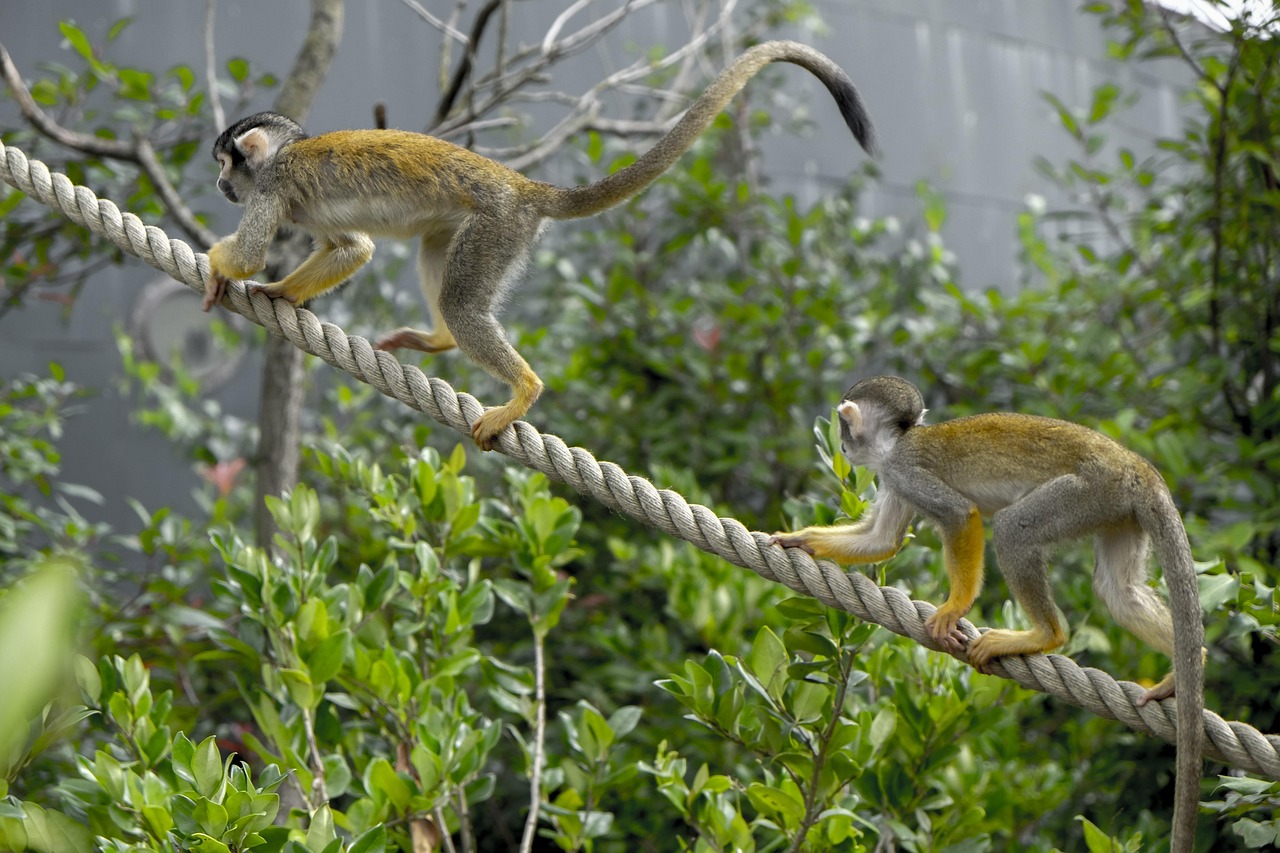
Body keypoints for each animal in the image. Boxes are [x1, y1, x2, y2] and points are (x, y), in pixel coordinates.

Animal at [202, 38, 880, 450]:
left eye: (226, 163)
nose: (220, 184)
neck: (282, 158)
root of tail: (526, 186)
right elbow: (353, 248)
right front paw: (281, 294)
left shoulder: (274, 186)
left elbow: (260, 249)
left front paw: (224, 267)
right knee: (438, 258)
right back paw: (439, 339)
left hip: (499, 224)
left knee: (464, 301)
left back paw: (521, 388)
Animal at [773, 376, 1203, 850]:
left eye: (844, 427)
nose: (844, 447)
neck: (898, 442)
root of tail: (1137, 466)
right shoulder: (895, 479)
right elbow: (881, 541)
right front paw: (801, 540)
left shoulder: (904, 471)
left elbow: (961, 515)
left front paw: (955, 607)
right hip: (1115, 508)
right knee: (1119, 592)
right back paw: (1187, 664)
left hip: (1091, 491)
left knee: (1015, 528)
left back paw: (1045, 635)